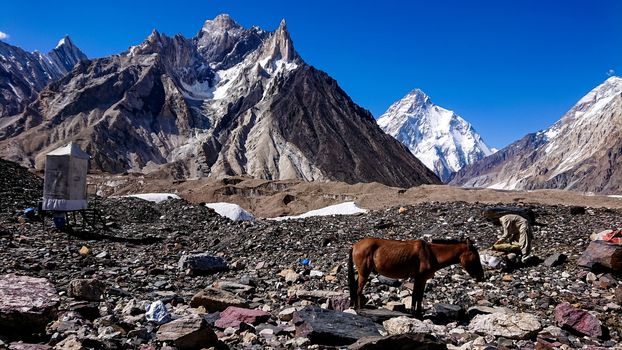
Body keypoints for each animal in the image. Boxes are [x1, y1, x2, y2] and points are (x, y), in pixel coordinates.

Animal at [346, 237, 488, 316]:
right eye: (475, 257)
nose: (481, 277)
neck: (432, 254)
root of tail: (355, 245)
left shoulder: (422, 279)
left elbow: (419, 297)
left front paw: (417, 312)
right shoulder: (419, 278)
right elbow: (416, 296)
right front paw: (415, 313)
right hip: (364, 272)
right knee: (358, 290)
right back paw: (359, 309)